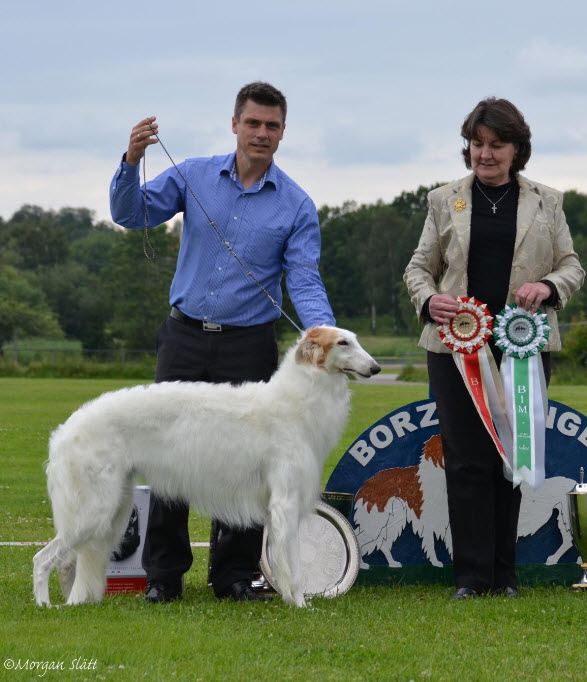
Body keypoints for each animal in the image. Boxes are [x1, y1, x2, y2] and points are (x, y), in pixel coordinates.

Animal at [33, 324, 382, 604]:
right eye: (343, 343)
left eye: (355, 339)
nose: (376, 368)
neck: (294, 400)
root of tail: (65, 431)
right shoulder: (285, 502)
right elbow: (294, 567)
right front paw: (300, 604)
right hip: (95, 509)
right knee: (43, 558)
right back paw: (45, 604)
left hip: (114, 509)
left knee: (66, 561)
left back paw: (72, 603)